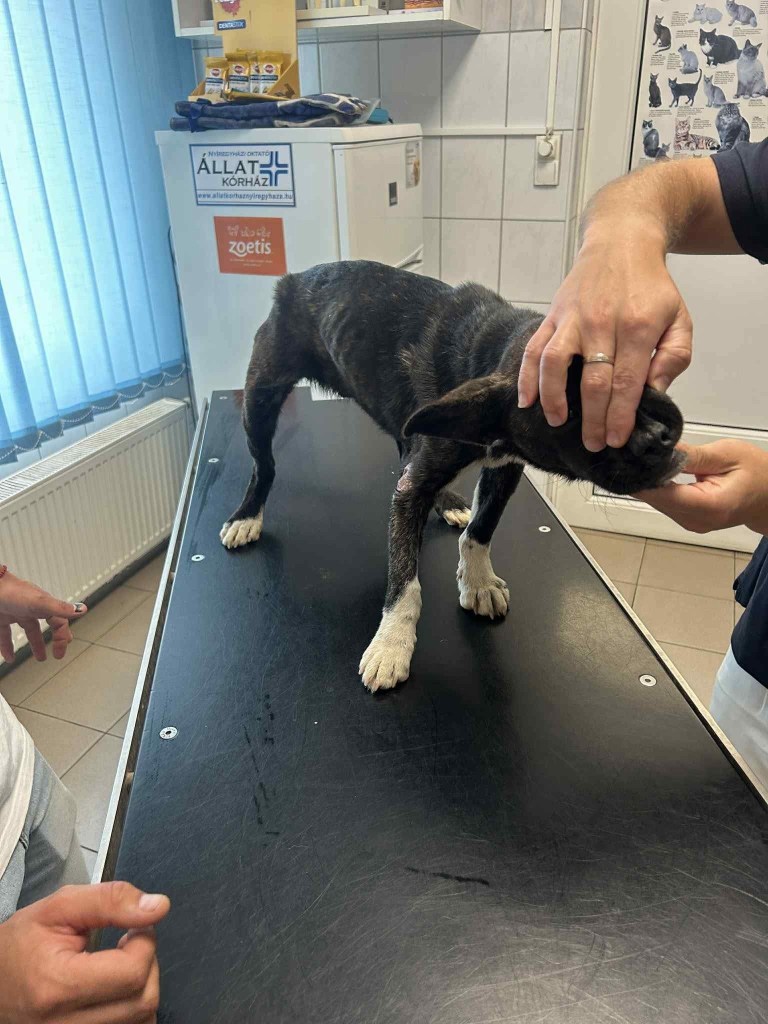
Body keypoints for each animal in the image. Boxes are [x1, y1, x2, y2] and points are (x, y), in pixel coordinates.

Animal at [221, 262, 684, 692]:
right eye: (572, 413)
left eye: (634, 375)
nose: (659, 437)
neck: (491, 346)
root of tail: (296, 278)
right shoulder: (422, 482)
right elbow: (405, 580)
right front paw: (392, 643)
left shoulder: (505, 468)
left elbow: (481, 528)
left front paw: (476, 581)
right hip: (261, 395)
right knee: (265, 465)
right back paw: (246, 515)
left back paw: (446, 502)